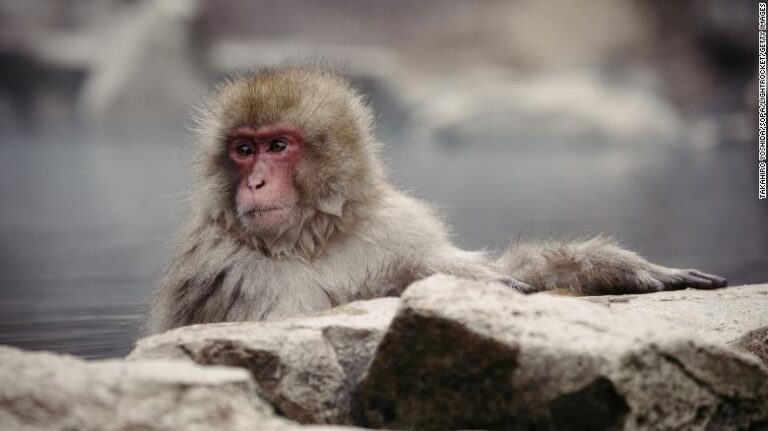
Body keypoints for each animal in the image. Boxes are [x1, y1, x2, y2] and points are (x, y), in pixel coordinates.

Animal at [145, 64, 727, 334]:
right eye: (243, 150)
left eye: (277, 146)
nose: (256, 183)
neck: (313, 239)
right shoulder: (226, 264)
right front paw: (421, 280)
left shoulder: (394, 223)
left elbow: (492, 267)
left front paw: (618, 269)